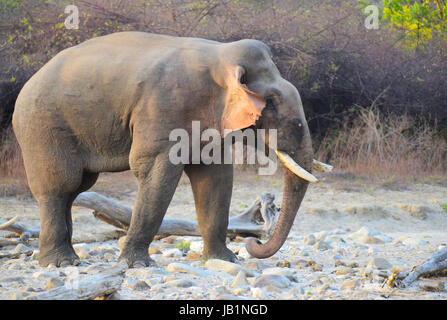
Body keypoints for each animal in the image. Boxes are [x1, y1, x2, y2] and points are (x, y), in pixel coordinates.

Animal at [12, 32, 316, 268]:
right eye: (272, 102)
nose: (253, 243)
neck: (220, 55)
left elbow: (215, 178)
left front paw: (226, 260)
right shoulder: (165, 107)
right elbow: (156, 169)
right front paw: (136, 265)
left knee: (76, 188)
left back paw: (68, 260)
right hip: (42, 127)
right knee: (60, 186)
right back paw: (60, 263)